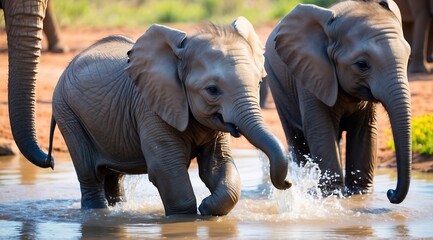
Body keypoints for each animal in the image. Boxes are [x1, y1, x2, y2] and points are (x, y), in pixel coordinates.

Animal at [49, 16, 292, 216]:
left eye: (259, 83)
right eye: (212, 90)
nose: (288, 183)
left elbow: (218, 164)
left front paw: (207, 208)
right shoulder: (151, 108)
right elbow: (167, 170)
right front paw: (188, 217)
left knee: (113, 176)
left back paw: (118, 208)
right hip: (67, 112)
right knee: (90, 173)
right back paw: (97, 214)